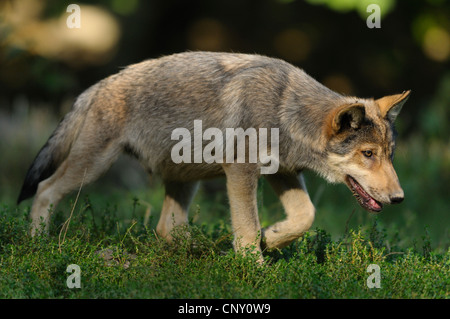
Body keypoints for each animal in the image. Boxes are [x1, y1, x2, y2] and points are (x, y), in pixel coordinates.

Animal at [17, 51, 410, 258]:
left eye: (389, 155)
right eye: (368, 154)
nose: (399, 198)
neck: (287, 110)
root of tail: (98, 85)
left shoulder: (283, 172)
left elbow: (305, 217)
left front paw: (271, 237)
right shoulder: (241, 172)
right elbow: (248, 228)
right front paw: (254, 268)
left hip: (183, 179)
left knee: (167, 228)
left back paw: (204, 250)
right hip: (93, 167)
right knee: (45, 190)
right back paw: (36, 245)